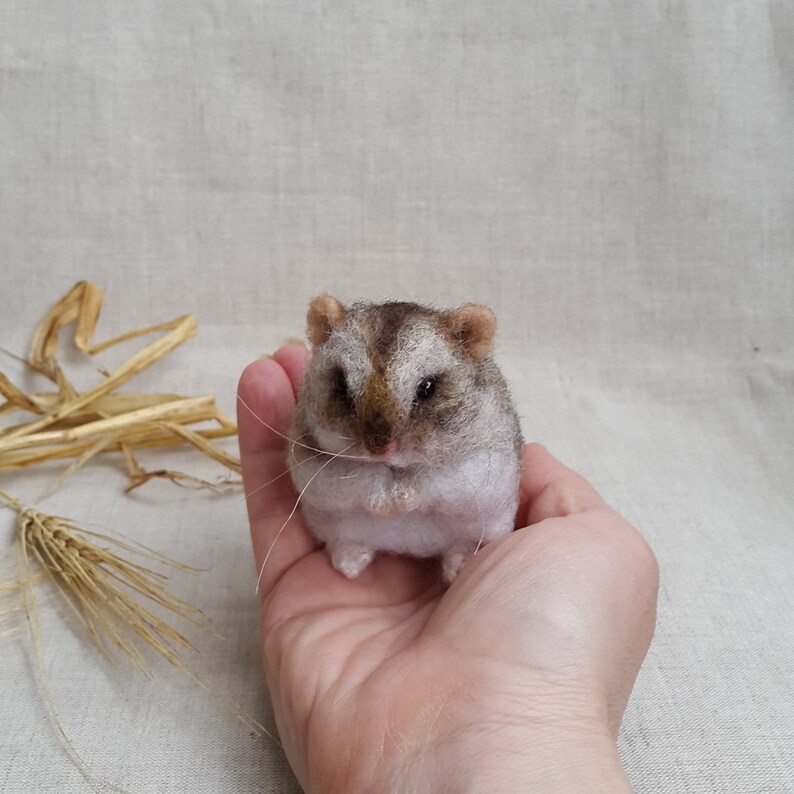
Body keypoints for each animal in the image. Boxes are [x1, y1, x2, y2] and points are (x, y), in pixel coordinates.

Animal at [288, 295, 523, 583]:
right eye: (341, 384)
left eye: (428, 387)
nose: (380, 449)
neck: (395, 469)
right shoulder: (311, 466)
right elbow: (359, 479)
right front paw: (386, 502)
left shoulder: (483, 468)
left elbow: (432, 482)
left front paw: (400, 499)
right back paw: (349, 563)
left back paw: (459, 566)